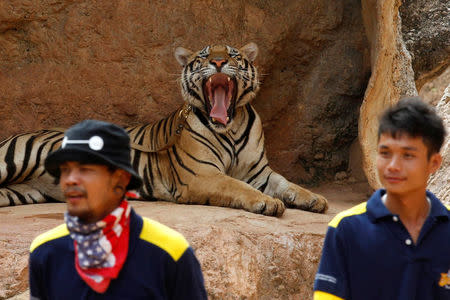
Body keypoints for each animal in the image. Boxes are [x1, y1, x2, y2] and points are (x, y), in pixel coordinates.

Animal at [0, 42, 326, 216]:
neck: (230, 128)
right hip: (14, 160)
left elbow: (287, 184)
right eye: (204, 56)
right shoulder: (203, 174)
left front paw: (314, 199)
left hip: (22, 192)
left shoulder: (259, 172)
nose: (220, 61)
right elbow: (236, 186)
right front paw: (267, 203)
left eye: (234, 55)